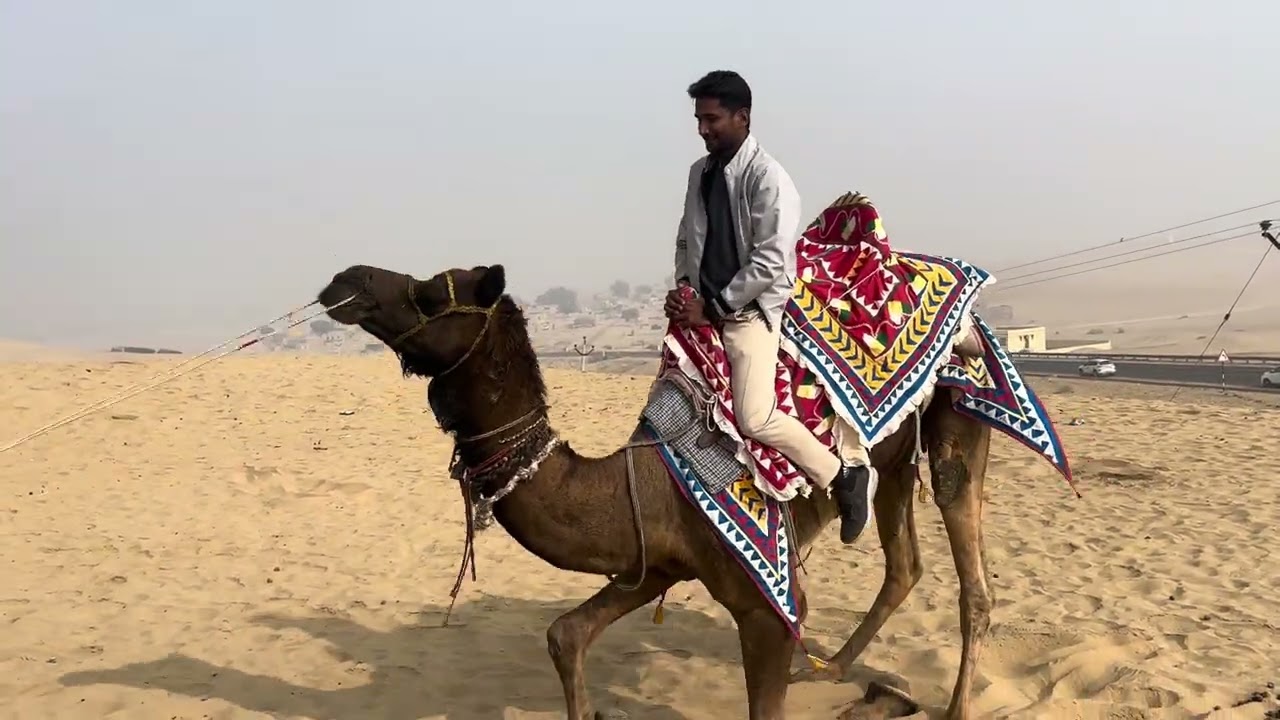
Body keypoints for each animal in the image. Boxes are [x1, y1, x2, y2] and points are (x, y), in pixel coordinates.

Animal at [318, 263, 996, 720]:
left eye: (432, 291)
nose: (344, 281)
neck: (639, 476)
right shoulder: (654, 556)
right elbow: (565, 635)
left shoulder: (761, 601)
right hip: (896, 461)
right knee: (903, 561)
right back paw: (834, 675)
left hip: (960, 421)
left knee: (970, 579)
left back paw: (946, 704)